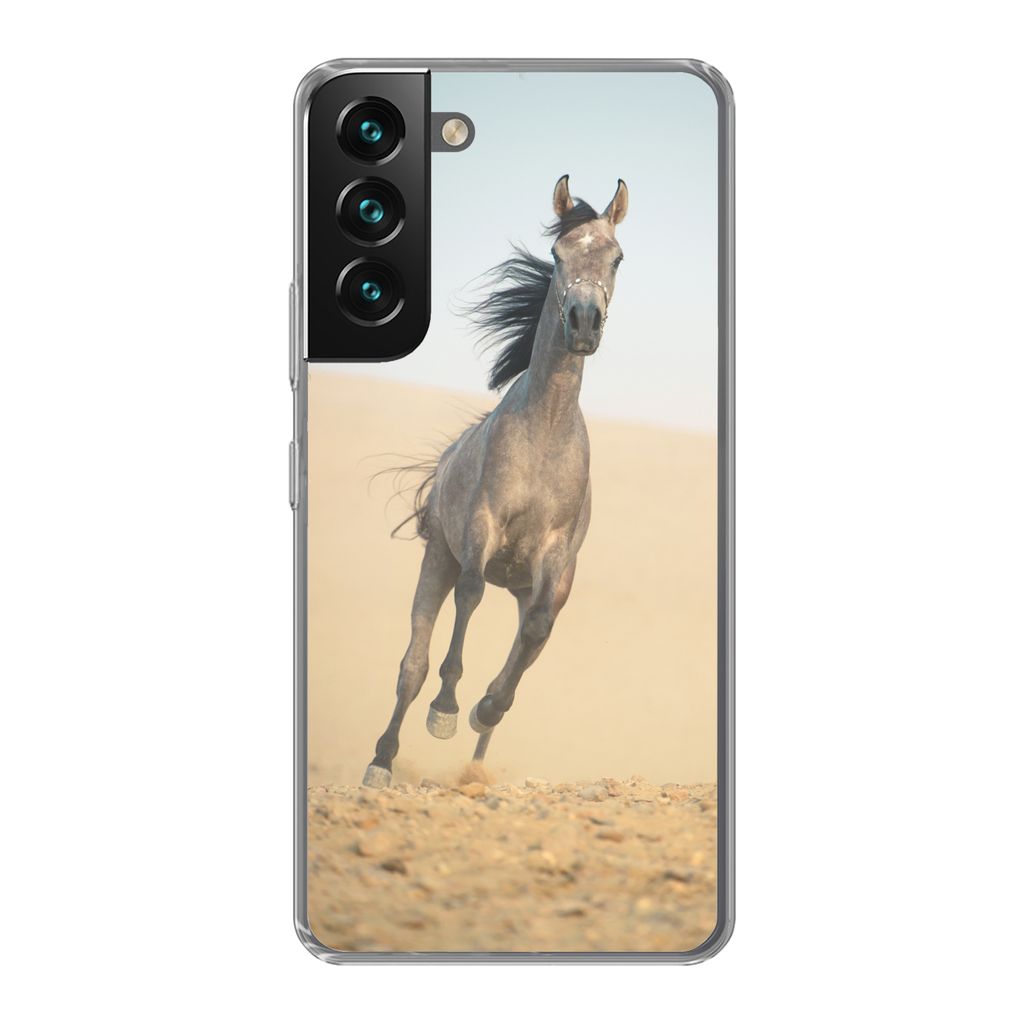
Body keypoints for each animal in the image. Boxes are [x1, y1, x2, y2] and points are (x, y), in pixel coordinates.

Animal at [362, 174, 629, 788]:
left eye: (617, 258)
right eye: (556, 254)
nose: (584, 322)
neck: (545, 430)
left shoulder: (554, 558)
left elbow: (535, 633)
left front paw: (486, 708)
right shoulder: (482, 530)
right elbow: (469, 596)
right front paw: (446, 711)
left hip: (530, 582)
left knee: (528, 637)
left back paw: (480, 754)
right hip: (437, 557)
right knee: (412, 664)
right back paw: (381, 761)